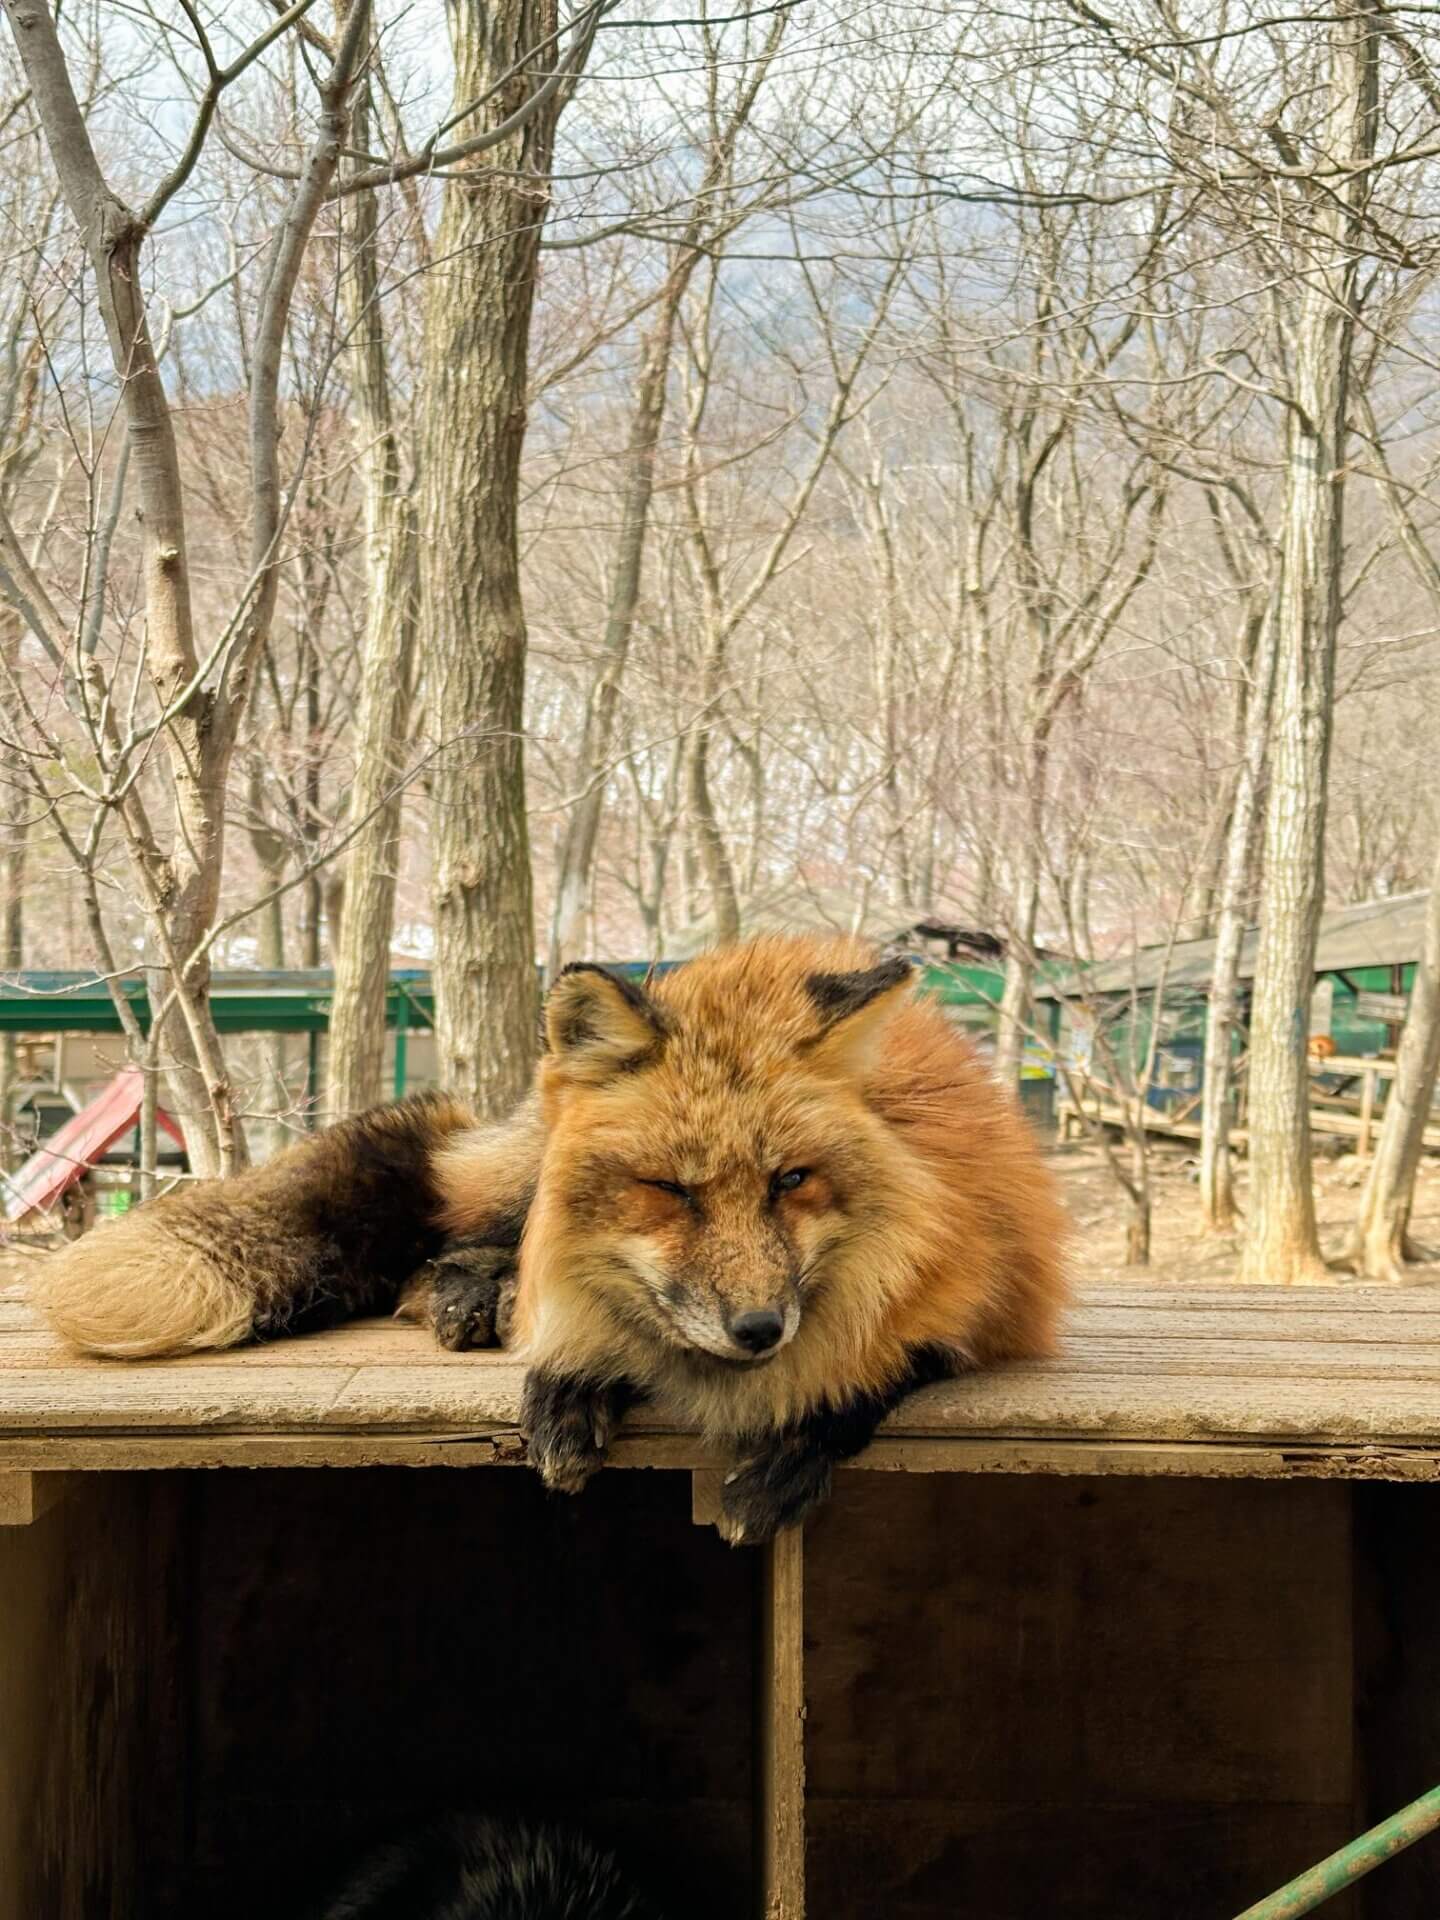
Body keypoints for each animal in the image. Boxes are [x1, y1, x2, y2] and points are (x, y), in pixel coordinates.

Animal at [33, 933, 1075, 1543]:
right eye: (668, 1190)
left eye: (791, 1181)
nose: (757, 1330)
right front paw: (569, 1383)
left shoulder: (991, 1297)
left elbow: (881, 1373)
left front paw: (793, 1450)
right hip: (521, 1176)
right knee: (438, 1248)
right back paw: (470, 1296)